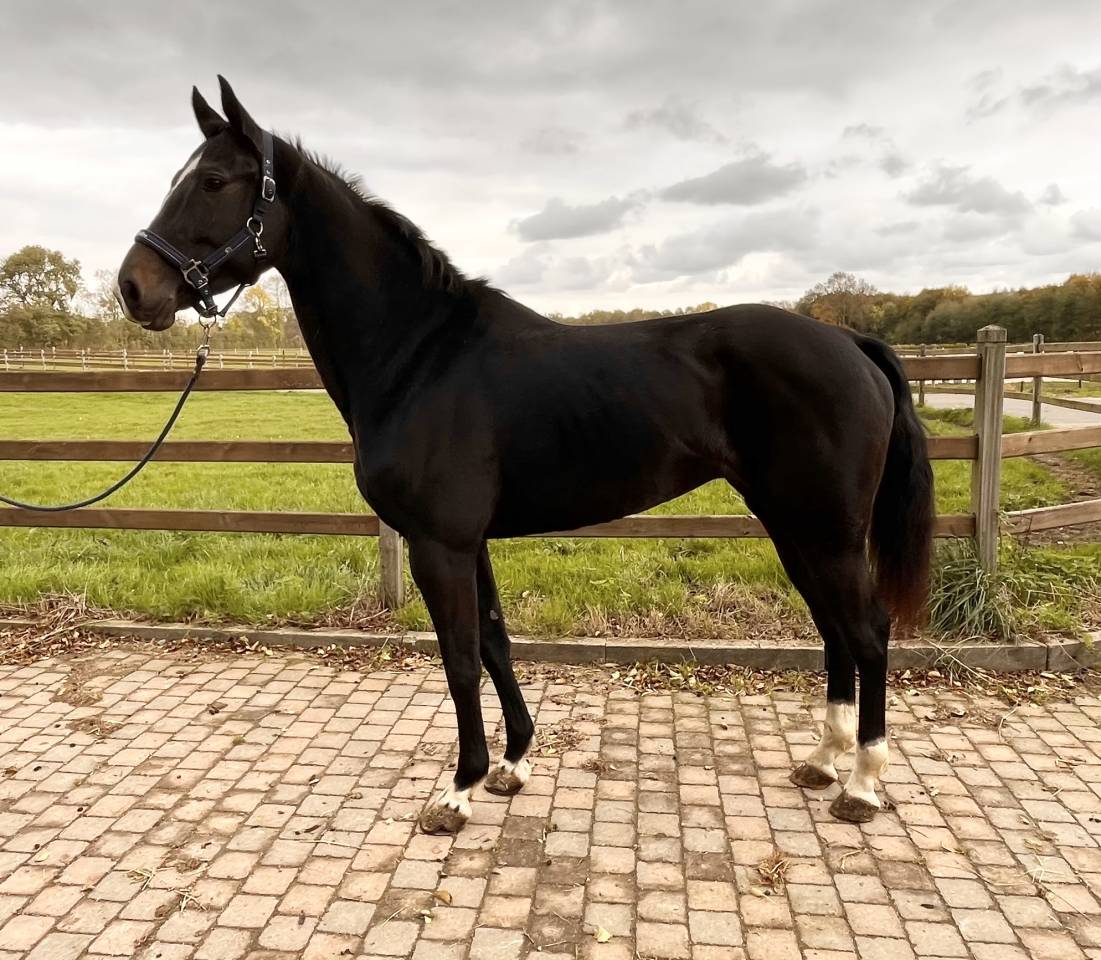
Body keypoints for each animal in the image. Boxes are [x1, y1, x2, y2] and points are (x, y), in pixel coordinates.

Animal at [116, 77, 934, 834]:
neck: (421, 354)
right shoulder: (467, 541)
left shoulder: (439, 543)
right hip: (795, 525)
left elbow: (457, 659)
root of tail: (848, 341)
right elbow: (495, 642)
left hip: (824, 529)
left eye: (214, 181)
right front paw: (511, 765)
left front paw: (457, 791)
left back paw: (862, 785)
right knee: (833, 630)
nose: (133, 287)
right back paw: (821, 762)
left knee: (866, 632)